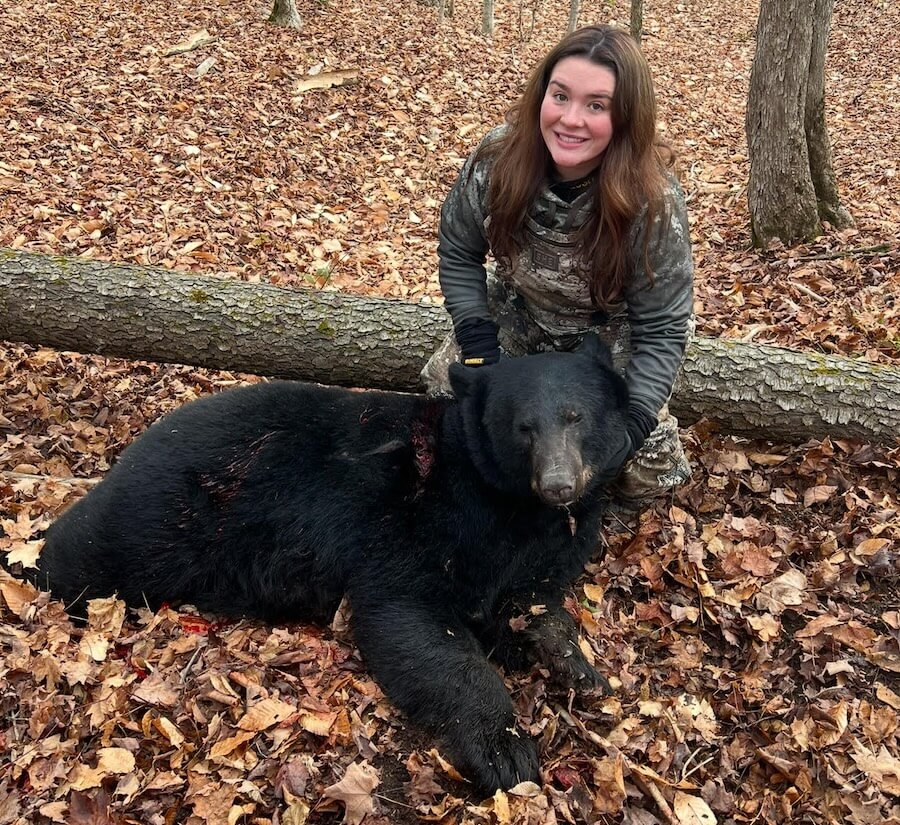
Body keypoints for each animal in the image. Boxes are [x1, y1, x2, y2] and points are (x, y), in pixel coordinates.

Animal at [34, 334, 631, 793]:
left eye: (575, 416)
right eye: (523, 426)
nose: (559, 484)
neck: (513, 506)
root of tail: (140, 441)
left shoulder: (545, 544)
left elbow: (532, 600)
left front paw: (580, 668)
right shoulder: (419, 522)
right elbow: (413, 619)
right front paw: (505, 750)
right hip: (170, 511)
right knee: (88, 550)